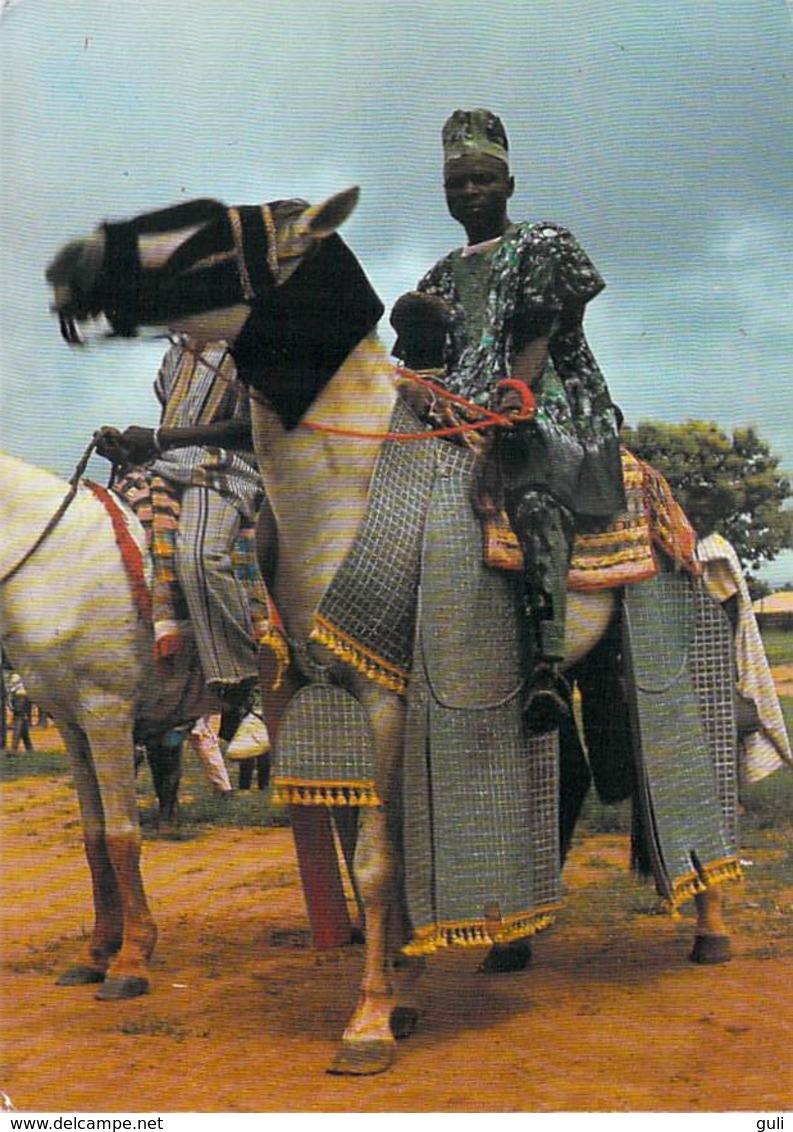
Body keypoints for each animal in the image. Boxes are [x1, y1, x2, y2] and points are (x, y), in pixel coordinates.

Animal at [0, 450, 203, 1000]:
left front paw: (132, 960)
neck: (55, 563)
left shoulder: (107, 716)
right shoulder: (73, 727)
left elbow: (121, 837)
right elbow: (94, 839)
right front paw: (95, 955)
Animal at [44, 190, 728, 1073]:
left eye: (208, 241)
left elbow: (376, 864)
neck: (346, 484)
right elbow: (382, 862)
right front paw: (402, 990)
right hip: (577, 669)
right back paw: (514, 944)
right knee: (571, 773)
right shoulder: (331, 687)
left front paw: (368, 1020)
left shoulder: (388, 702)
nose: (68, 270)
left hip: (656, 643)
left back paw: (708, 926)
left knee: (691, 765)